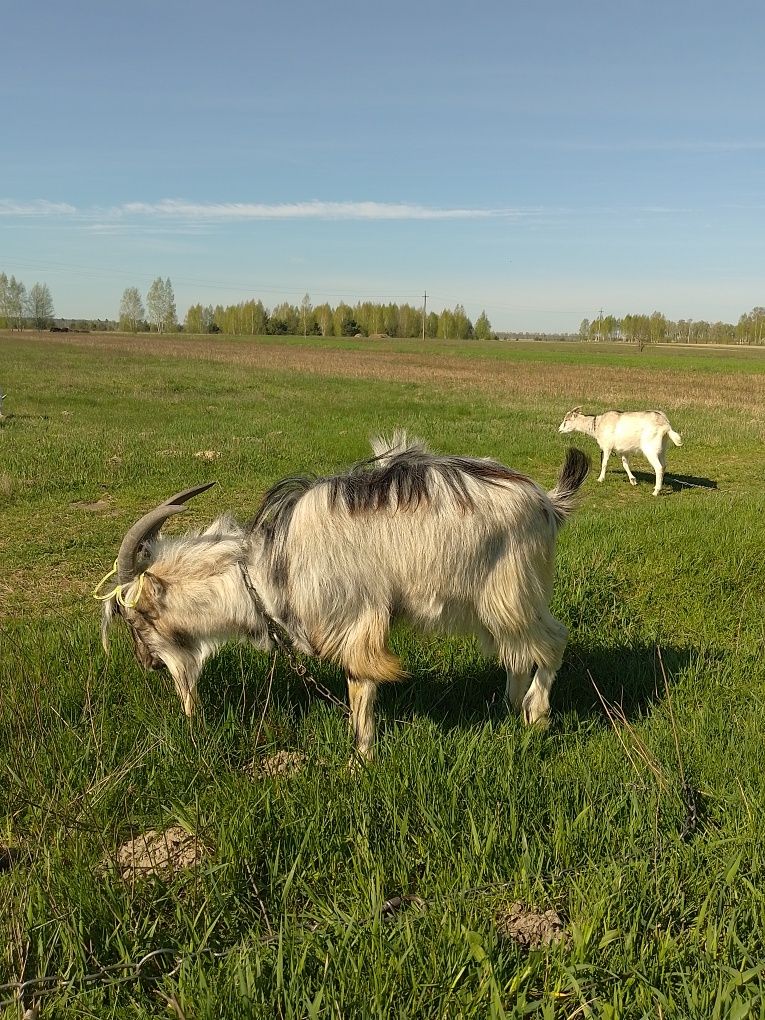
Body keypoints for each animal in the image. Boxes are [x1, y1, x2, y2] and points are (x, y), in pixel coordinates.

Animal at [98, 430, 591, 758]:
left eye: (134, 618)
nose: (145, 664)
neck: (266, 570)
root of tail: (548, 502)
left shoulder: (356, 621)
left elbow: (360, 687)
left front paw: (362, 759)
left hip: (513, 593)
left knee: (552, 642)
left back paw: (536, 718)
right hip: (487, 605)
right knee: (517, 652)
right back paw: (508, 707)